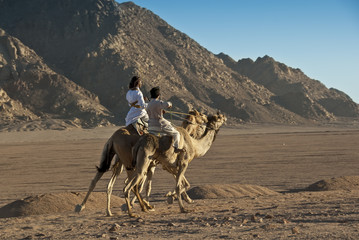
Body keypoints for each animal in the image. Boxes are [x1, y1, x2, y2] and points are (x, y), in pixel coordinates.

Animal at [74, 109, 208, 216]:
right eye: (201, 115)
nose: (206, 118)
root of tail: (112, 138)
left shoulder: (154, 165)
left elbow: (148, 185)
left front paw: (182, 198)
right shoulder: (158, 165)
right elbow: (148, 186)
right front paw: (176, 198)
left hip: (114, 158)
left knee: (100, 180)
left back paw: (92, 208)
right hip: (128, 162)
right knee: (128, 184)